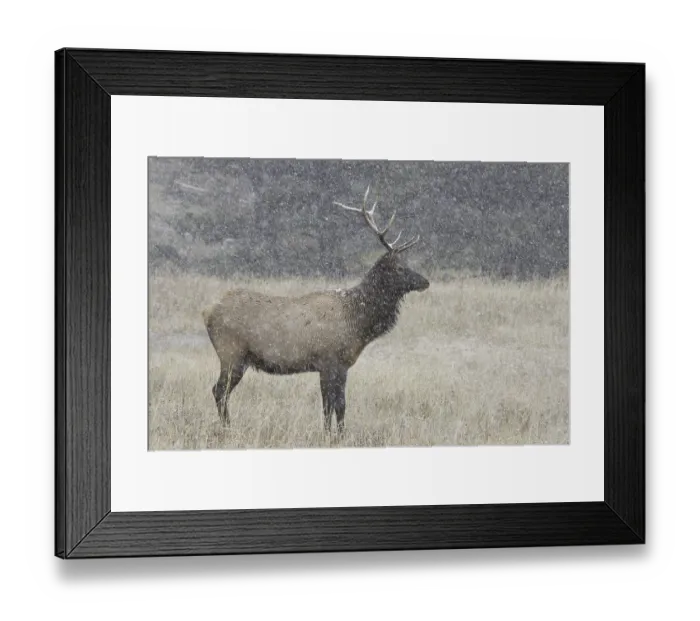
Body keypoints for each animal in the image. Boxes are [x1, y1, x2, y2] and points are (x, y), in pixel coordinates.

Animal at [203, 185, 429, 435]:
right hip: (231, 353)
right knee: (218, 390)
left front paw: (335, 434)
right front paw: (334, 435)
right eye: (399, 268)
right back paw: (228, 428)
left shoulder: (337, 366)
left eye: (407, 264)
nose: (425, 281)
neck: (357, 324)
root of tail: (207, 312)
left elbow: (334, 405)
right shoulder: (330, 361)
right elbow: (334, 405)